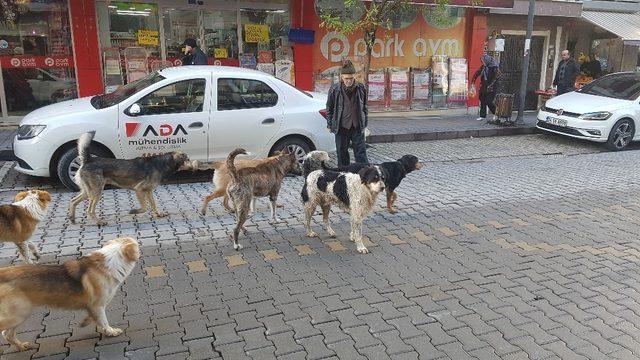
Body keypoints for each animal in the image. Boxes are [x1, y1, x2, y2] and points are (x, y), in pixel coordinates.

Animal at [0, 236, 139, 352]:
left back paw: (21, 346)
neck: (110, 262)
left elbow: (93, 317)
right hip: (19, 314)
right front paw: (110, 332)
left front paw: (85, 322)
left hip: (20, 314)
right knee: (5, 333)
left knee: (8, 334)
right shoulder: (98, 305)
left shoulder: (93, 307)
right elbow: (104, 321)